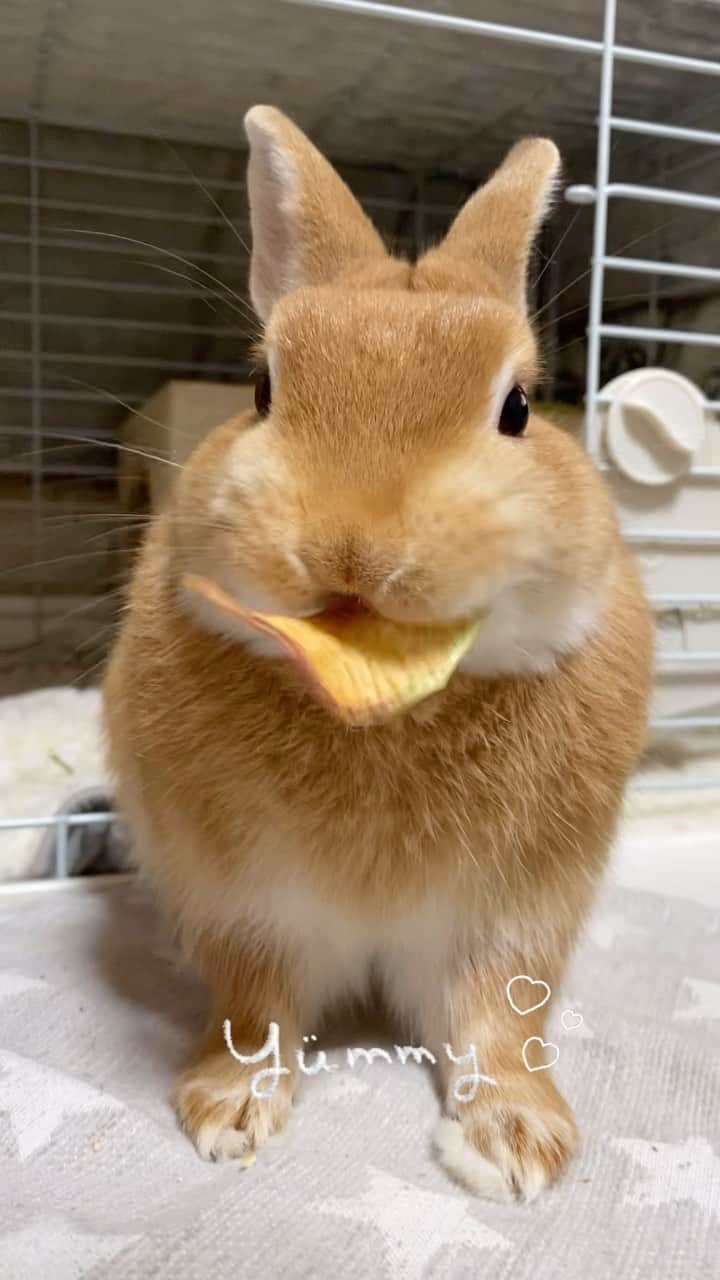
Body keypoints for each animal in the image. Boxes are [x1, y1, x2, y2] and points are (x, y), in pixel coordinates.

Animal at [103, 107, 653, 1198]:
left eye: (518, 409)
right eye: (263, 388)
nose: (348, 549)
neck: (385, 707)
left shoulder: (514, 917)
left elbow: (499, 1018)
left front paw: (517, 1149)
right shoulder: (242, 907)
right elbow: (254, 1007)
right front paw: (227, 1115)